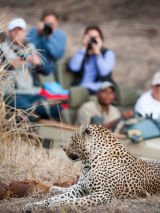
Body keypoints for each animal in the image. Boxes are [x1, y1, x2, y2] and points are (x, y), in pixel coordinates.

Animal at [23, 124, 160, 212]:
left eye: (72, 138)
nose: (63, 148)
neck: (88, 162)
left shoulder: (103, 194)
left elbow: (75, 201)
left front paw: (56, 204)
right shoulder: (80, 189)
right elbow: (60, 196)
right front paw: (31, 205)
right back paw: (55, 188)